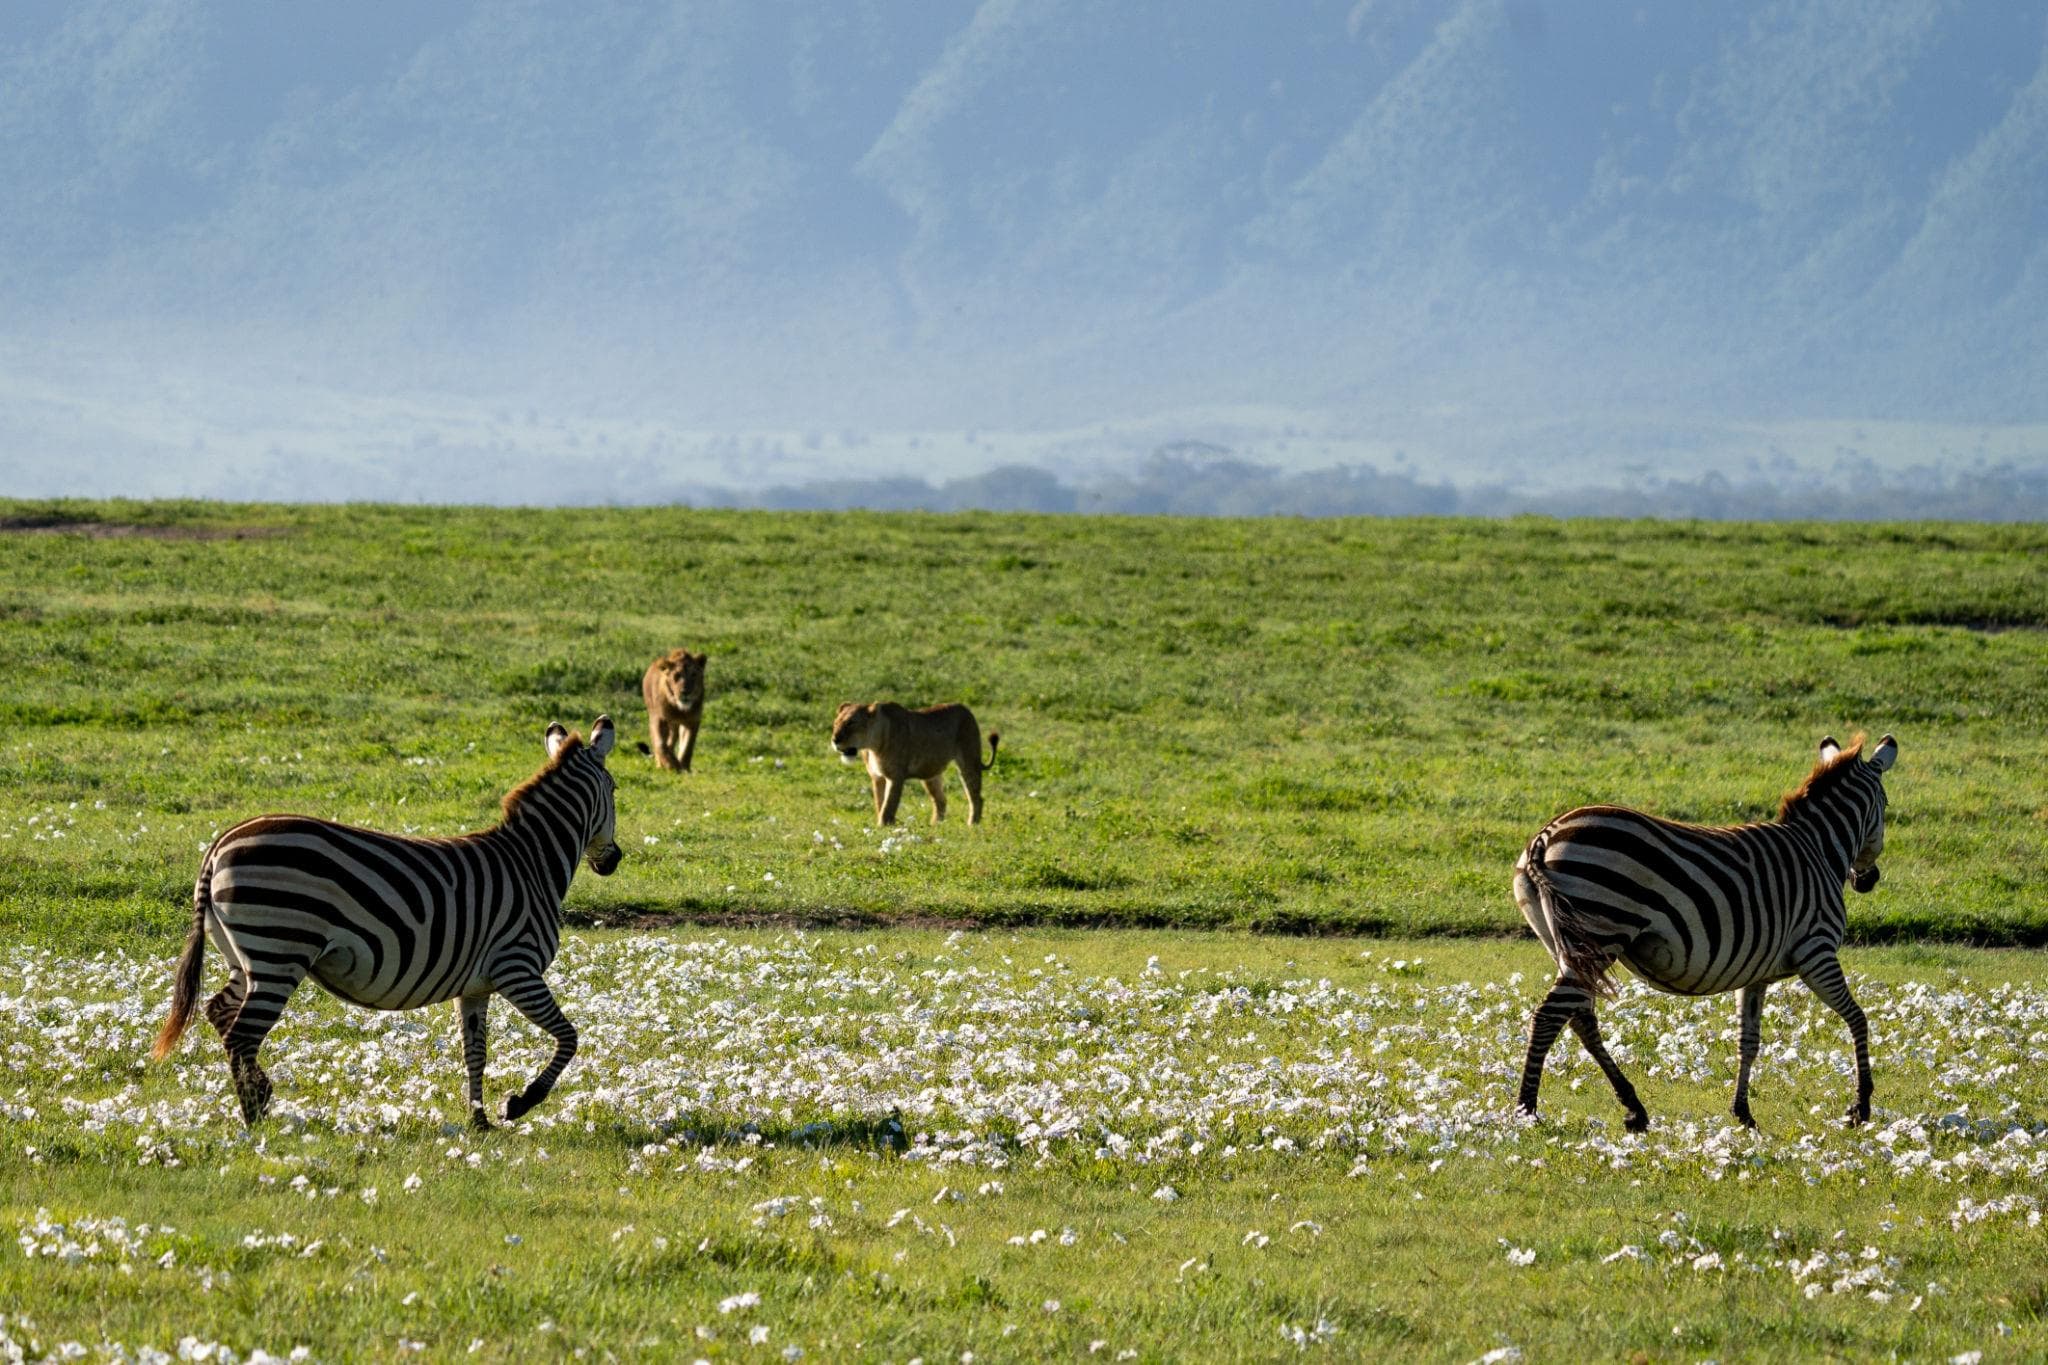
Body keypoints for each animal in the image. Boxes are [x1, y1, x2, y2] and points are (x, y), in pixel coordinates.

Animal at [831, 701, 999, 825]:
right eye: (835, 723)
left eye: (851, 723)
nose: (834, 740)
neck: (872, 746)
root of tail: (966, 709)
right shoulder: (877, 777)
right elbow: (879, 803)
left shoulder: (895, 777)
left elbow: (889, 805)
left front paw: (884, 826)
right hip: (931, 774)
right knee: (941, 800)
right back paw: (935, 825)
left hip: (969, 762)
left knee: (976, 797)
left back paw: (972, 824)